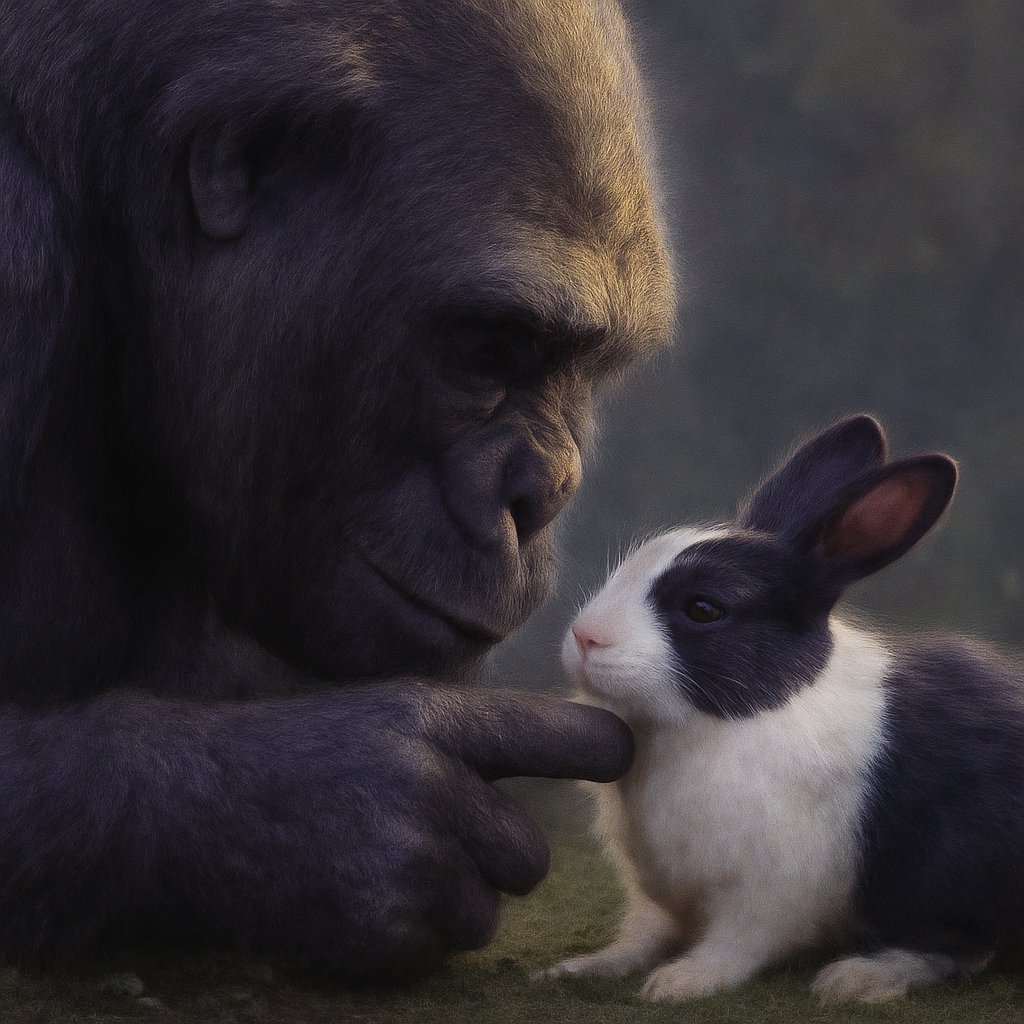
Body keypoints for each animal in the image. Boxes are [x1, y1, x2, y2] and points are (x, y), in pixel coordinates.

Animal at [535, 414, 1024, 1003]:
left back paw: (857, 977)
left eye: (704, 608)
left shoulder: (770, 891)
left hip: (949, 866)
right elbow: (642, 934)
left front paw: (680, 982)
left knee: (960, 946)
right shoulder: (656, 893)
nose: (586, 638)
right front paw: (582, 967)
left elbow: (737, 944)